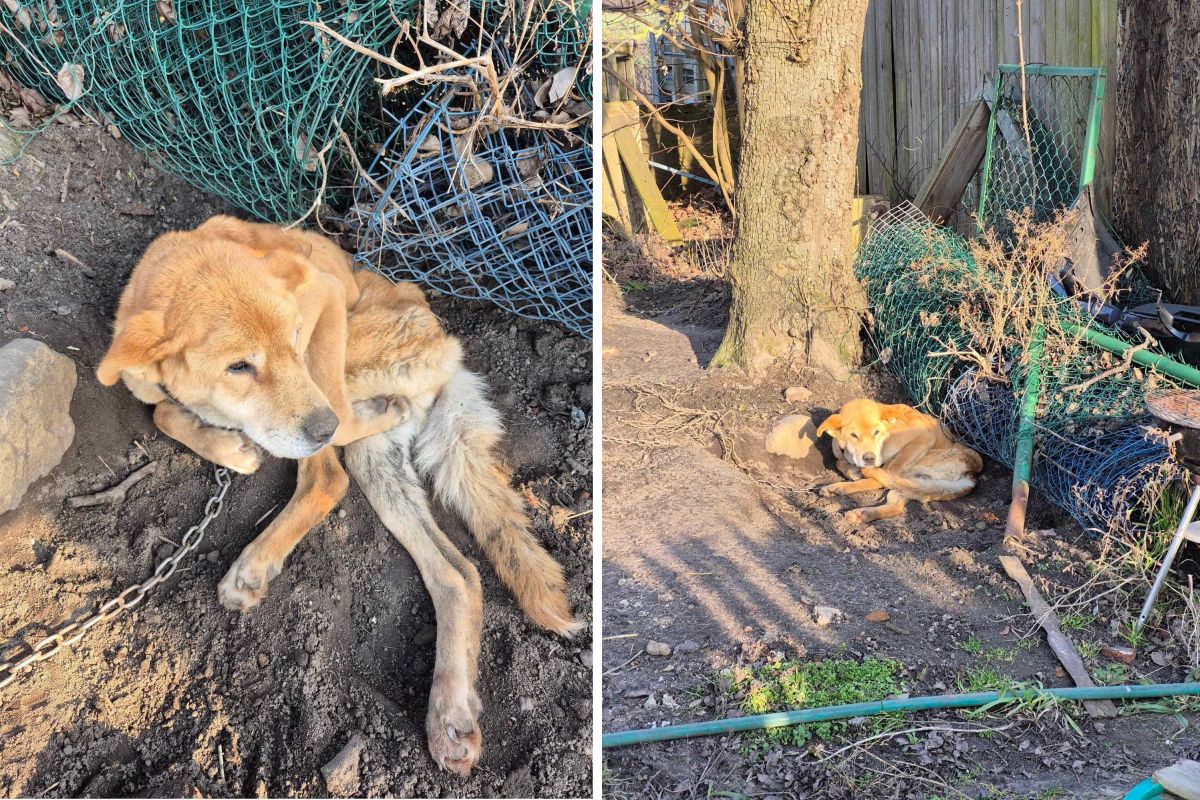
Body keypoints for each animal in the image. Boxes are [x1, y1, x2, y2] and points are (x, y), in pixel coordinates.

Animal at [816, 398, 984, 525]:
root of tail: (973, 475)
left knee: (886, 478)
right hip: (916, 484)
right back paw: (859, 509)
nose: (869, 458)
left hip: (920, 461)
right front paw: (851, 470)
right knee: (895, 505)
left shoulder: (923, 437)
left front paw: (855, 471)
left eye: (876, 432)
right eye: (853, 435)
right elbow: (839, 462)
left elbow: (883, 473)